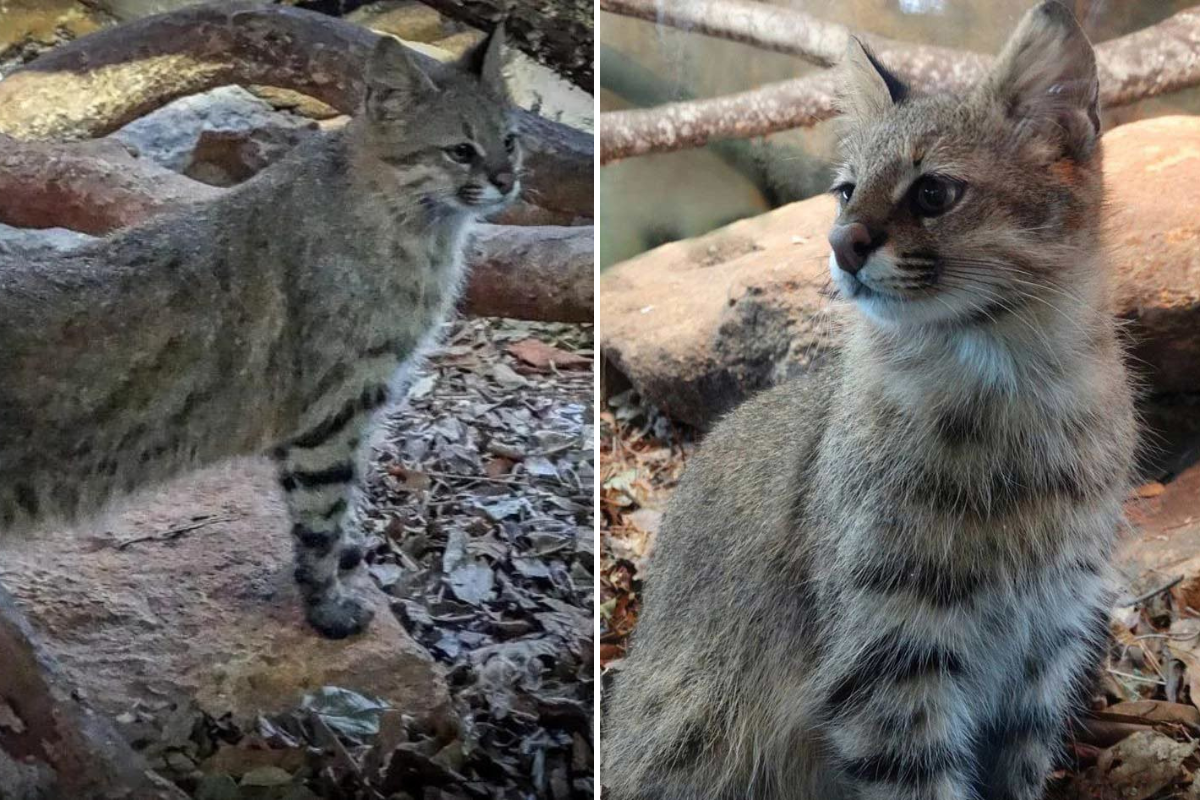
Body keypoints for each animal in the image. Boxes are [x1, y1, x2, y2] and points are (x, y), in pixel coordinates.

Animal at [0, 31, 520, 642]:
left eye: (509, 142)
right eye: (460, 150)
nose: (508, 181)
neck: (419, 226)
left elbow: (333, 503)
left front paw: (343, 559)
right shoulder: (332, 410)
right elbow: (322, 513)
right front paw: (328, 608)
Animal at [604, 6, 1137, 800]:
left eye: (933, 192)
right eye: (846, 192)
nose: (840, 242)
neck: (1004, 374)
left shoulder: (1051, 631)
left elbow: (1018, 768)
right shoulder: (891, 653)